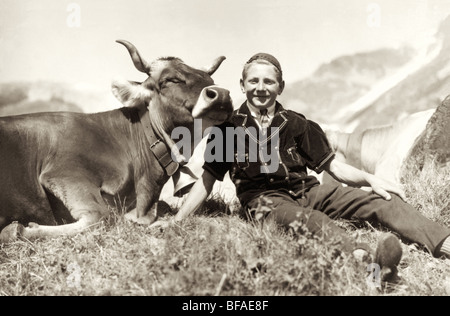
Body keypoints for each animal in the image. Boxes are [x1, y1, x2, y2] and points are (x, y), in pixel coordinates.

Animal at [0, 39, 232, 242]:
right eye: (170, 80)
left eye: (211, 82)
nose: (221, 94)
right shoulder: (63, 173)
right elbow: (100, 216)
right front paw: (17, 230)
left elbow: (162, 207)